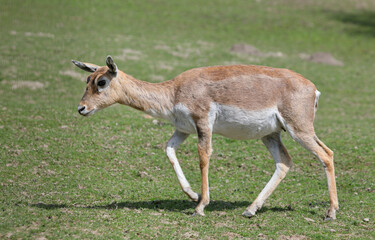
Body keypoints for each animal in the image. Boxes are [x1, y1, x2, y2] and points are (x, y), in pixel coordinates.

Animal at [72, 54, 340, 219]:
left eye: (102, 81)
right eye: (87, 79)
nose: (81, 108)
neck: (174, 92)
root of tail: (313, 88)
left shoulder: (203, 124)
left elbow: (203, 156)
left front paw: (200, 207)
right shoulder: (183, 129)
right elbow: (169, 150)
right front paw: (193, 195)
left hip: (299, 129)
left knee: (326, 154)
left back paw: (331, 213)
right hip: (271, 135)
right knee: (284, 162)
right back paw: (250, 209)